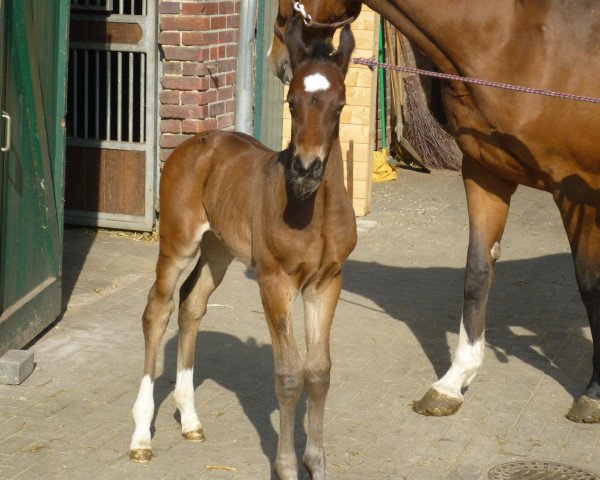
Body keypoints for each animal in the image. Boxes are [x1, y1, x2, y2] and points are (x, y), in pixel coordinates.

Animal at [130, 16, 356, 478]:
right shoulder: (275, 282)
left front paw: (316, 462)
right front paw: (287, 466)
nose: (306, 169)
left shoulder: (326, 283)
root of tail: (194, 143)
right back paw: (142, 435)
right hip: (178, 244)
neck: (315, 209)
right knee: (158, 309)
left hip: (218, 250)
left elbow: (319, 372)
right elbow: (289, 375)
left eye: (340, 105)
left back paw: (190, 419)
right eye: (291, 102)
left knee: (192, 303)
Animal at [270, 0, 600, 422]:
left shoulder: (575, 192)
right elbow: (477, 274)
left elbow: (590, 285)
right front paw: (452, 382)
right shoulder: (485, 175)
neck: (522, 42)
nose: (278, 59)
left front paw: (593, 393)